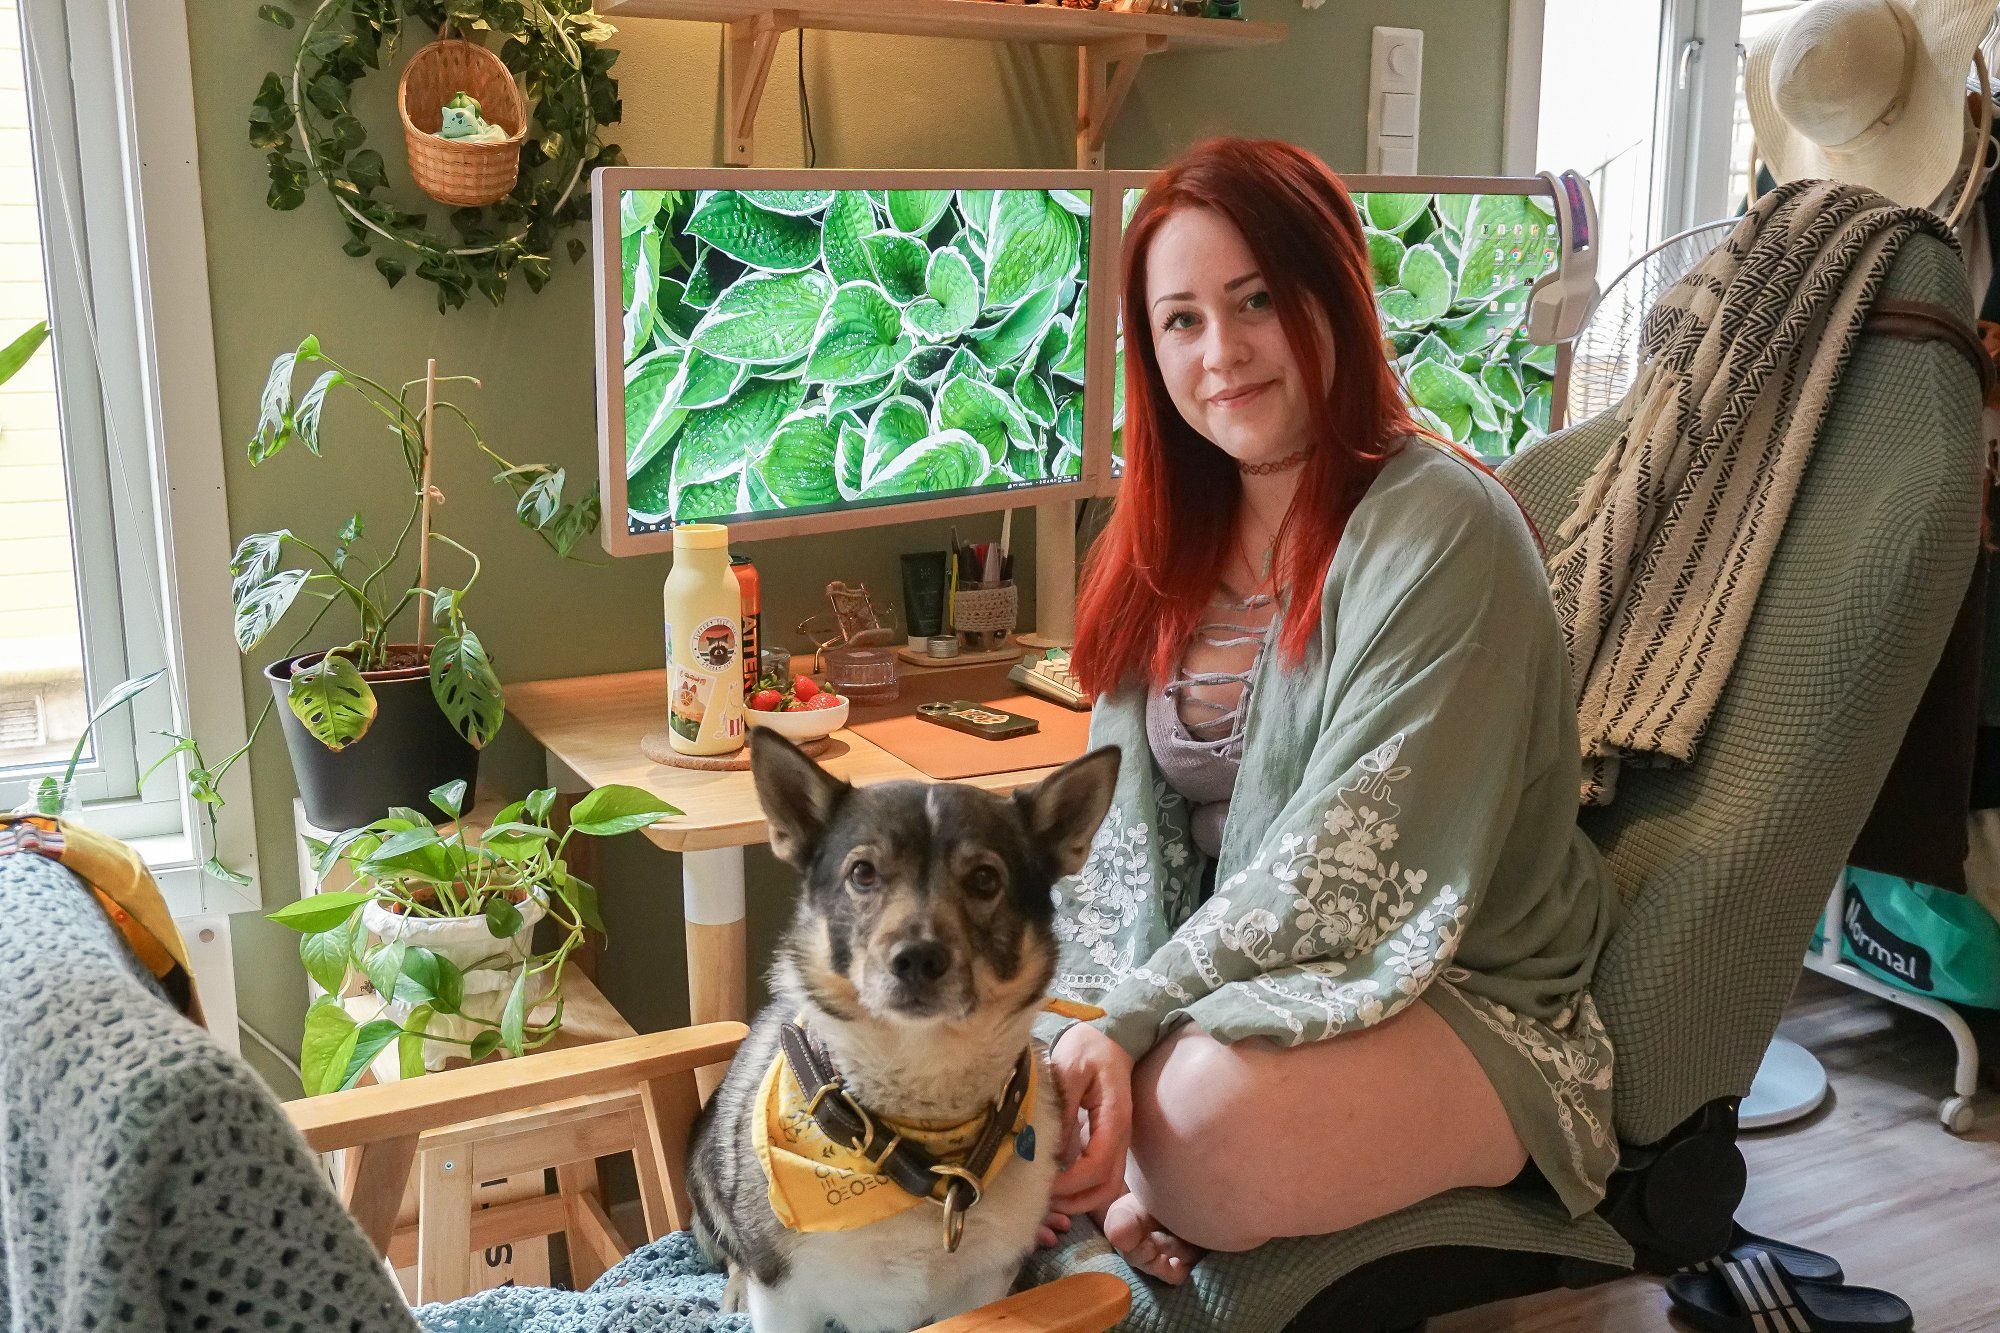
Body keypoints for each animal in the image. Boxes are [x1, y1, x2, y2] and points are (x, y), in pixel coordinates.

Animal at [688, 728, 1128, 1328]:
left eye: (984, 879)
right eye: (863, 873)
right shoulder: (783, 1296)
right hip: (707, 1168)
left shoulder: (985, 1290)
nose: (918, 959)